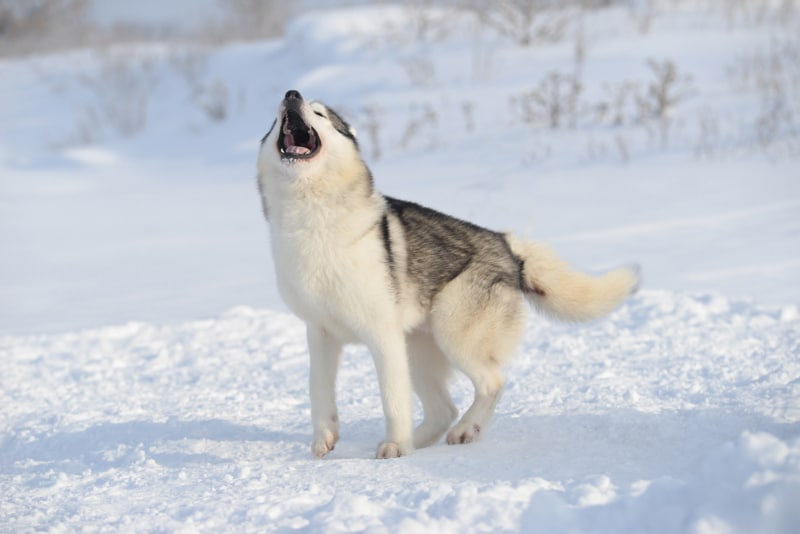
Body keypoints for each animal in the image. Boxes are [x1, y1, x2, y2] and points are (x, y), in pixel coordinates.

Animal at [256, 90, 636, 458]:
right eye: (274, 121)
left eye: (320, 113)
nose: (291, 93)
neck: (312, 220)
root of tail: (508, 247)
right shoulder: (320, 333)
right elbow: (319, 394)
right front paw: (324, 441)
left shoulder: (382, 336)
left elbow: (393, 400)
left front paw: (395, 447)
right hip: (418, 350)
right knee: (443, 410)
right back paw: (424, 440)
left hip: (452, 333)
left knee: (492, 383)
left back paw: (464, 430)